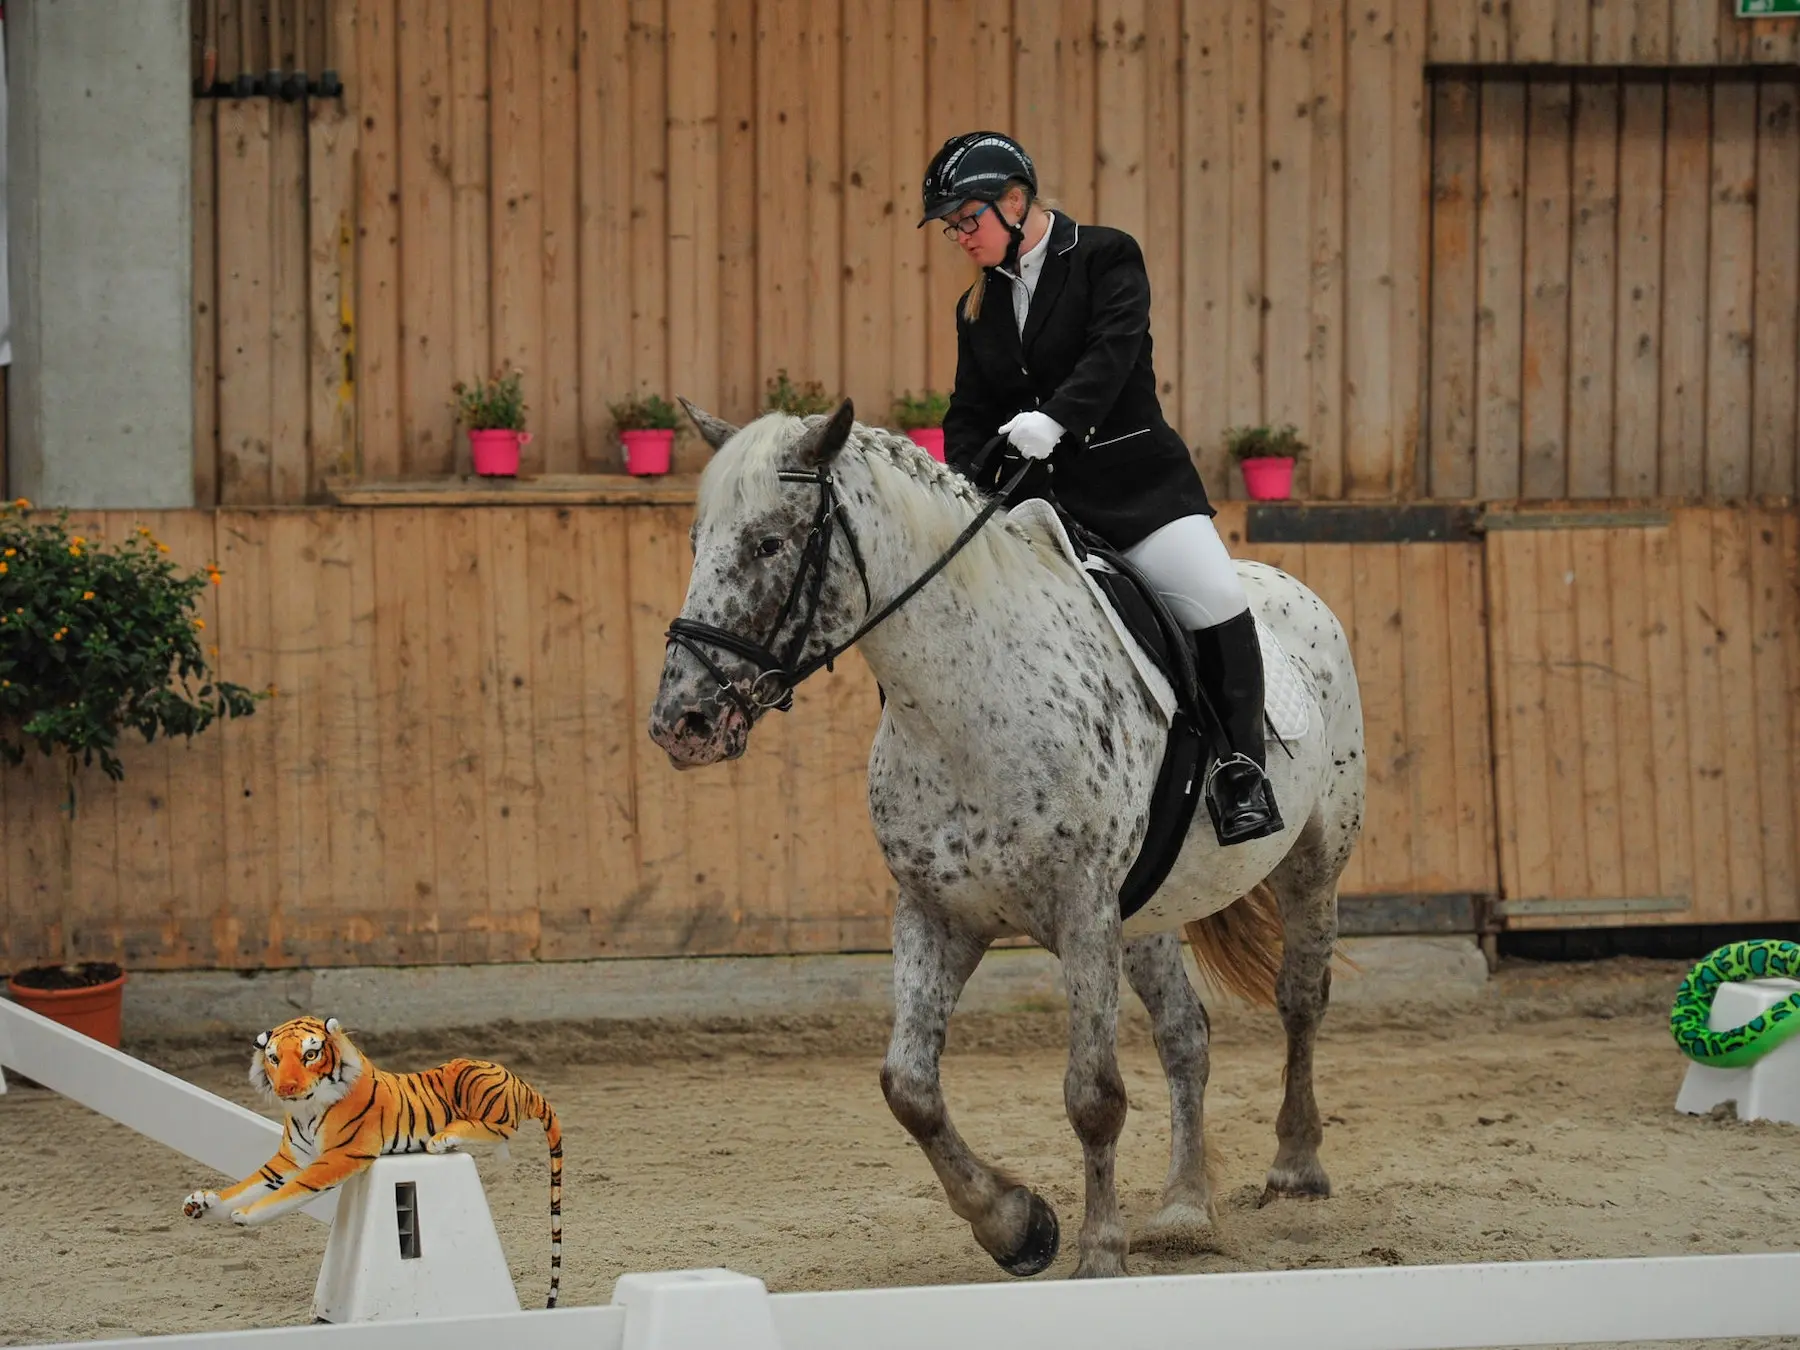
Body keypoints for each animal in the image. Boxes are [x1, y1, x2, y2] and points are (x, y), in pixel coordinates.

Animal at [648, 399, 1360, 1281]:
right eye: (697, 541)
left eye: (770, 543)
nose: (681, 723)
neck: (963, 705)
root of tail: (1289, 586)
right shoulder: (938, 913)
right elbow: (909, 1087)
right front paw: (1017, 1226)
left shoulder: (1081, 907)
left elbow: (1093, 1096)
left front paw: (1098, 1254)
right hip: (1146, 915)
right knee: (1185, 1036)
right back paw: (1186, 1208)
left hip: (1314, 861)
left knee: (1300, 998)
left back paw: (1295, 1167)